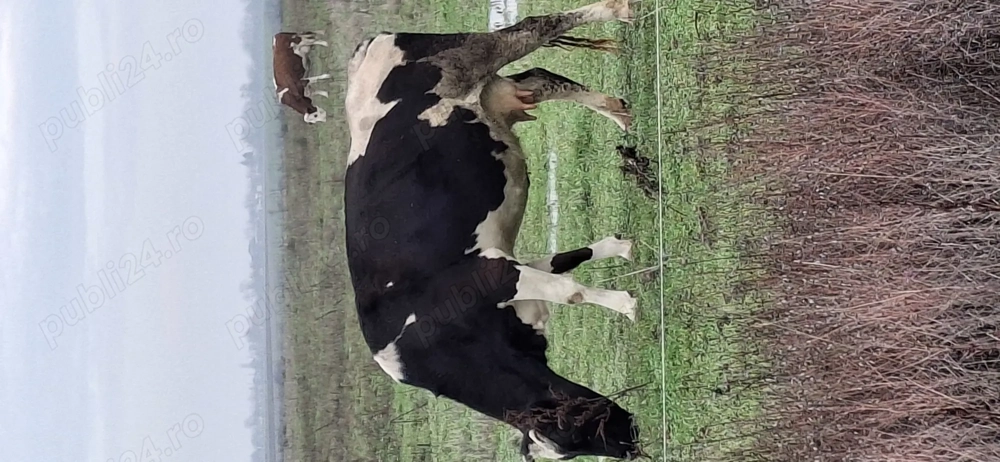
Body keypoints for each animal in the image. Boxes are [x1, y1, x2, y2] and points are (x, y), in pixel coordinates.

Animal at [343, 0, 644, 460]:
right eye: (572, 443)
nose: (633, 442)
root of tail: (366, 47)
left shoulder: (491, 274)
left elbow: (571, 292)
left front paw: (627, 305)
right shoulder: (505, 266)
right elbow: (564, 263)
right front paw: (622, 249)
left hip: (470, 57)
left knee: (534, 29)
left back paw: (618, 11)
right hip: (492, 96)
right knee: (539, 80)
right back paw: (616, 110)